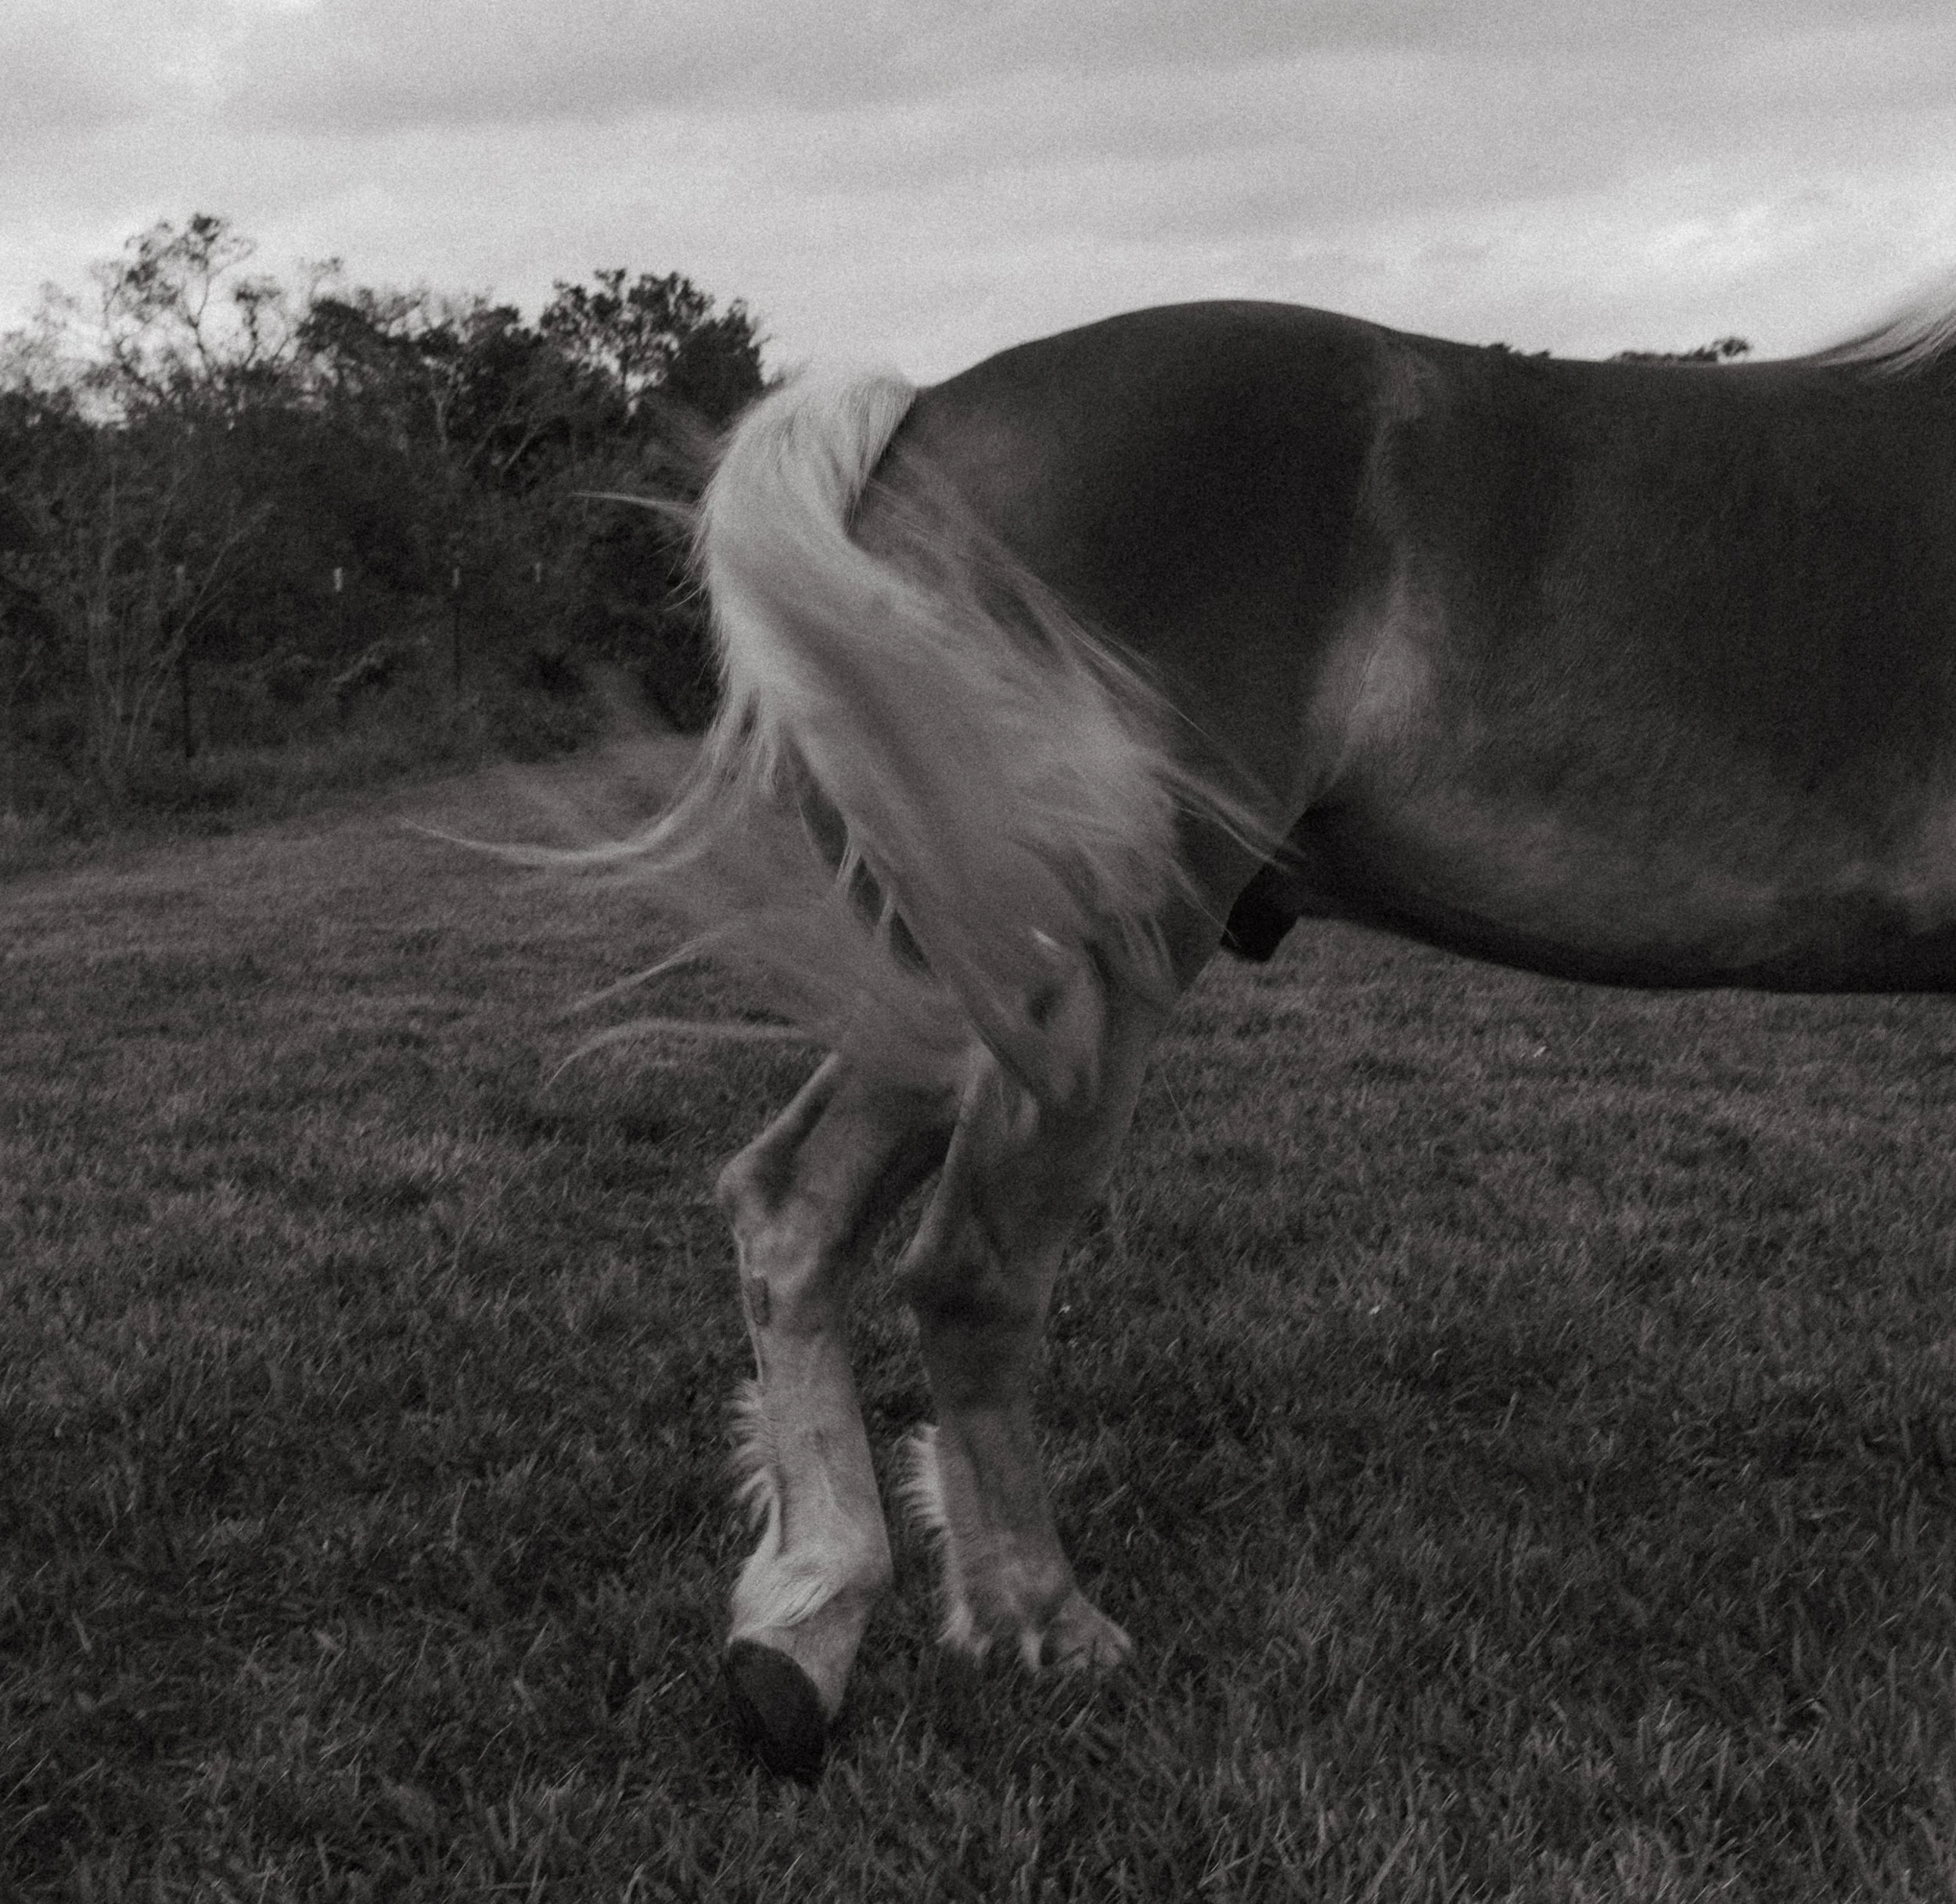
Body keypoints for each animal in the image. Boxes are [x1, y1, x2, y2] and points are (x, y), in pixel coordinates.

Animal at [602, 290, 1956, 1777]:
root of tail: (923, 410)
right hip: (1081, 977)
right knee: (969, 1271)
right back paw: (1039, 1620)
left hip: (946, 978)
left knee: (793, 1206)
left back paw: (803, 1626)